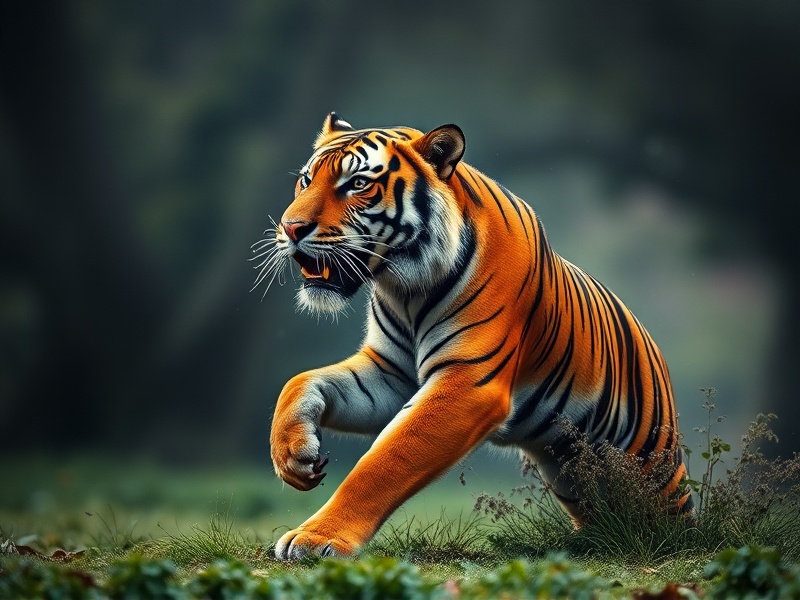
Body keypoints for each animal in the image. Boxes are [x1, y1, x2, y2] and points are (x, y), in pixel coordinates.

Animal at [255, 112, 692, 560]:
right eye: (306, 180)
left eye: (358, 183)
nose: (290, 228)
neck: (405, 288)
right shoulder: (389, 373)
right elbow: (298, 382)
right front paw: (293, 456)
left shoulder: (469, 380)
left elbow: (384, 461)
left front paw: (317, 538)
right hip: (572, 472)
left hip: (654, 469)